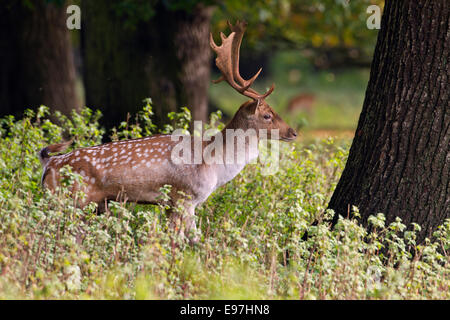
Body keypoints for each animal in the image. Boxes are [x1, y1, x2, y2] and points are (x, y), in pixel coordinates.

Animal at [38, 21, 296, 244]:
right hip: (71, 198)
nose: (293, 132)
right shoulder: (184, 196)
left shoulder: (175, 204)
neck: (214, 164)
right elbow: (186, 241)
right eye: (267, 115)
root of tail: (48, 164)